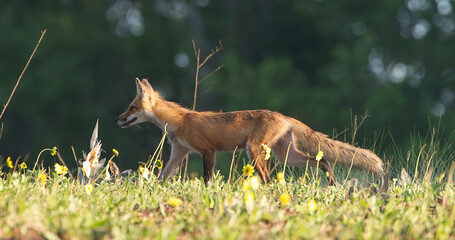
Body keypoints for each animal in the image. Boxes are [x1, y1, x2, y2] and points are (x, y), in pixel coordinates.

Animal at [116, 79, 384, 184]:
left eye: (131, 107)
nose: (117, 119)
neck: (178, 121)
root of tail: (283, 116)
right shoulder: (178, 153)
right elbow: (162, 178)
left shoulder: (208, 150)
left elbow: (207, 179)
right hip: (286, 156)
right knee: (323, 160)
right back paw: (332, 184)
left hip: (254, 151)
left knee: (267, 178)